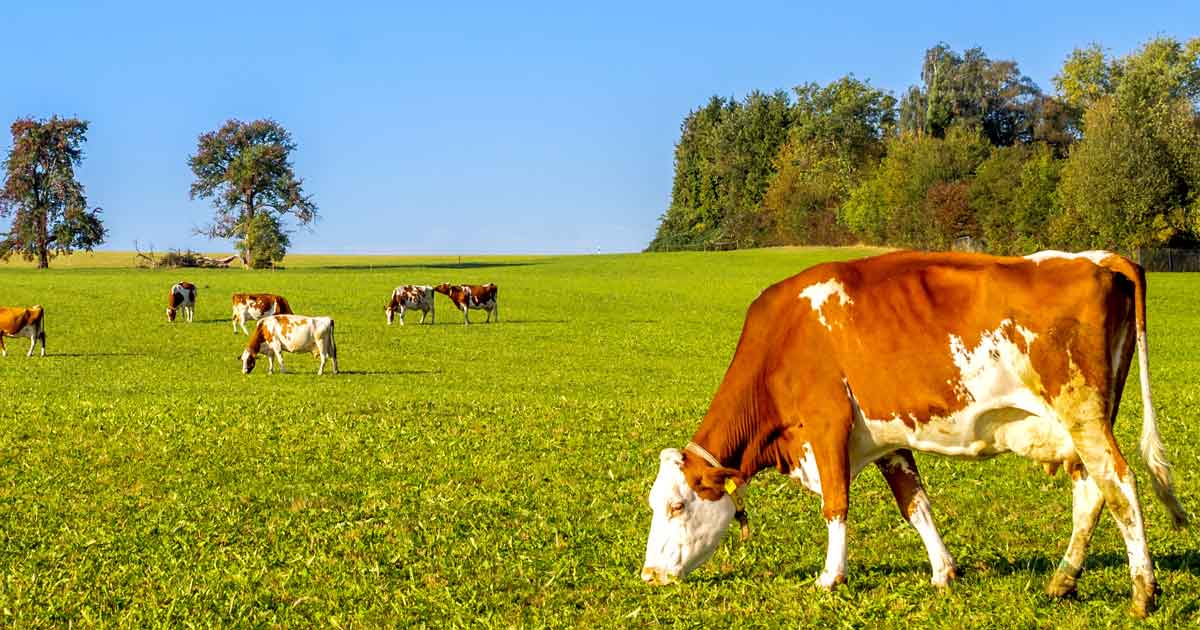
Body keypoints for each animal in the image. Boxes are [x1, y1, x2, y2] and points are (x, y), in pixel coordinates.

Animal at [643, 248, 1185, 614]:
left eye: (677, 506)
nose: (648, 575)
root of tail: (1094, 258)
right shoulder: (889, 441)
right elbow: (916, 505)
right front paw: (944, 572)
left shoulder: (827, 424)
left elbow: (835, 505)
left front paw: (829, 578)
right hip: (1077, 426)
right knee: (1091, 493)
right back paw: (1063, 581)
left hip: (1083, 412)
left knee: (1120, 486)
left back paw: (1142, 591)